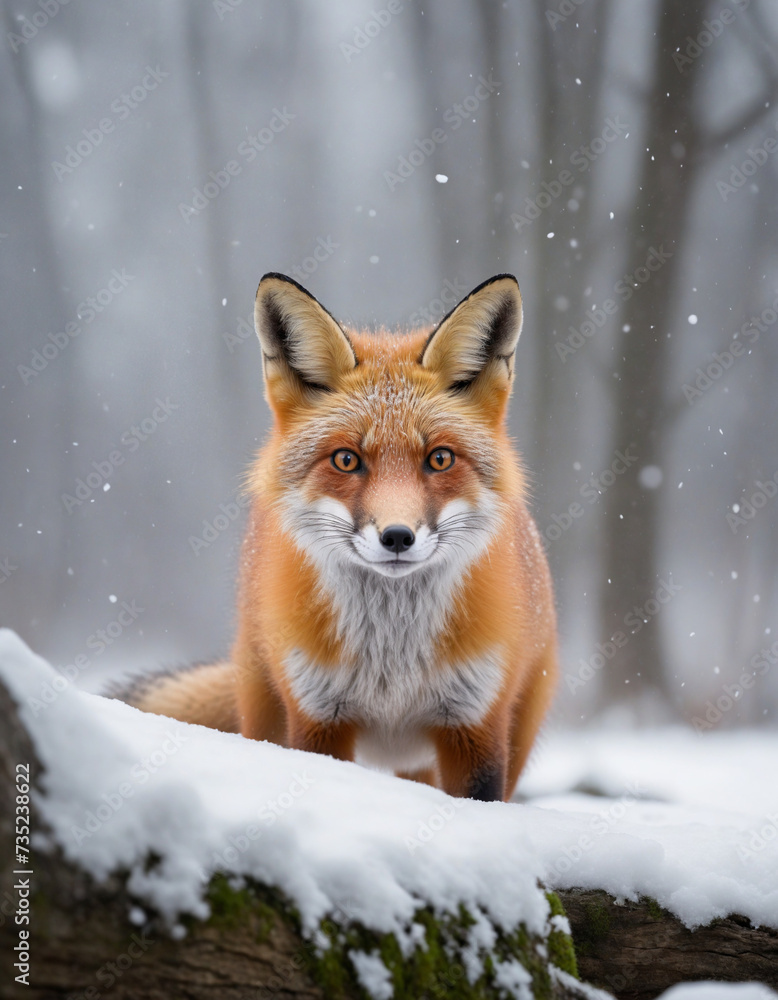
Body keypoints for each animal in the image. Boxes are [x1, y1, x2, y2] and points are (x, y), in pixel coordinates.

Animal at [116, 272, 558, 802]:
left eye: (440, 459)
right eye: (347, 460)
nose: (397, 536)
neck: (392, 662)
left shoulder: (476, 727)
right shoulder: (318, 717)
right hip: (266, 711)